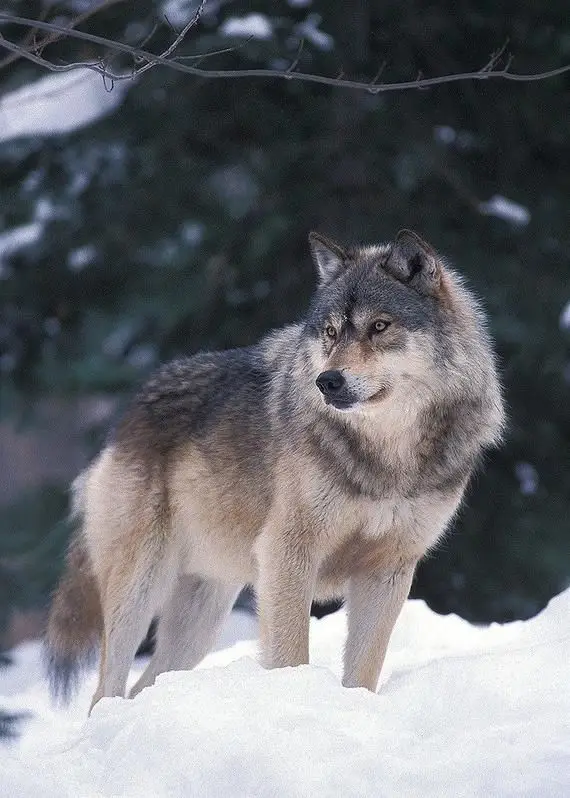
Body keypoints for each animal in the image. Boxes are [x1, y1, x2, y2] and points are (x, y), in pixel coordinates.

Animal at [46, 230, 505, 712]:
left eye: (379, 326)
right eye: (330, 332)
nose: (328, 381)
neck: (386, 458)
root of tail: (125, 416)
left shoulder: (389, 570)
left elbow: (363, 671)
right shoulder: (288, 553)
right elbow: (290, 653)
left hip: (200, 620)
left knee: (145, 685)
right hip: (141, 588)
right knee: (105, 690)